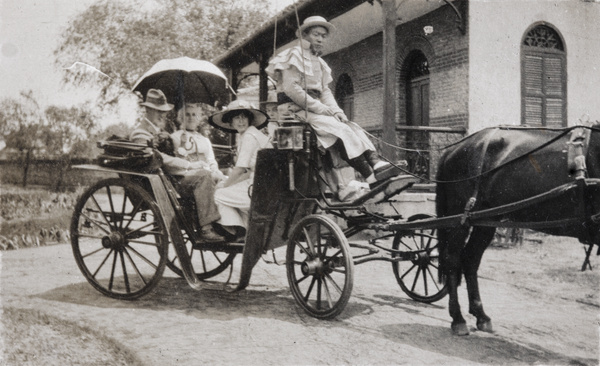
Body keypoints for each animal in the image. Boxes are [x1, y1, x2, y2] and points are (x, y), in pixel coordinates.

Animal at [436, 124, 600, 336]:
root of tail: (452, 149)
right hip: (459, 219)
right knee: (452, 259)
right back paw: (458, 319)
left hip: (485, 220)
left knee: (470, 259)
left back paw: (481, 315)